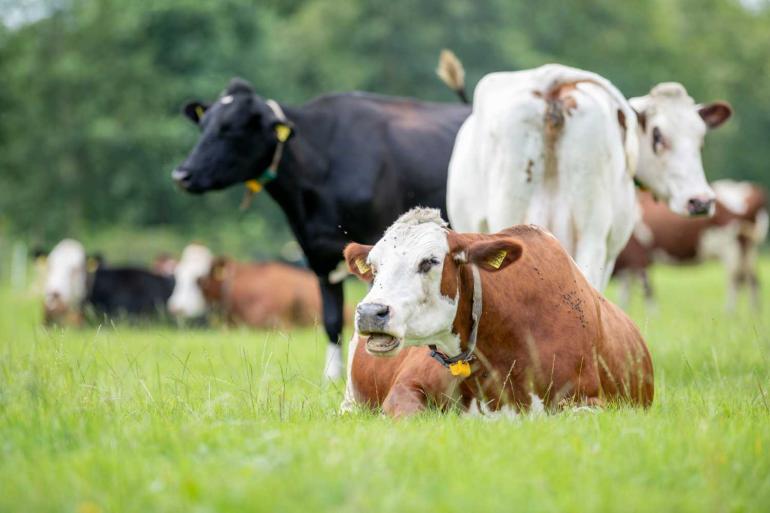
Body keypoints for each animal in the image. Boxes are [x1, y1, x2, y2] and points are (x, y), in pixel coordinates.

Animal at [170, 53, 468, 380]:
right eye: (204, 126)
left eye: (231, 128)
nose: (182, 174)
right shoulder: (318, 255)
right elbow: (332, 320)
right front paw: (332, 377)